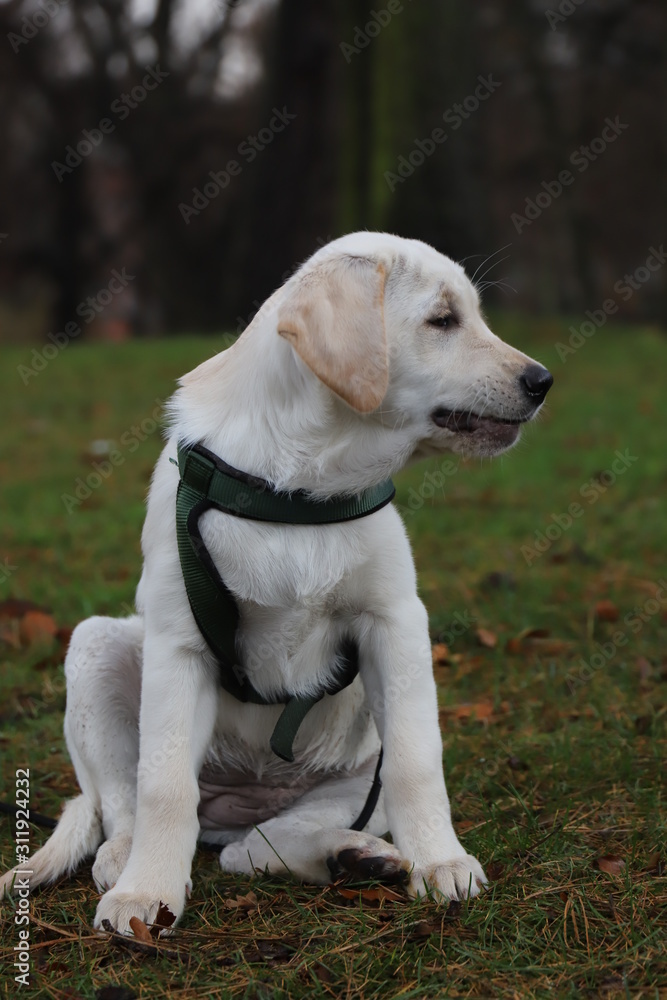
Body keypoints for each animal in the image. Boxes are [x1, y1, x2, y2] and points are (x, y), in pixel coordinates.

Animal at [0, 232, 552, 928]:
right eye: (442, 320)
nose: (543, 381)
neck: (302, 488)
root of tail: (240, 805)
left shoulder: (394, 622)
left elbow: (417, 759)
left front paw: (439, 860)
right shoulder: (179, 645)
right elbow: (162, 786)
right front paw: (145, 894)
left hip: (352, 777)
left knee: (256, 847)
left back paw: (351, 855)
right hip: (97, 646)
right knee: (120, 801)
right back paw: (123, 861)